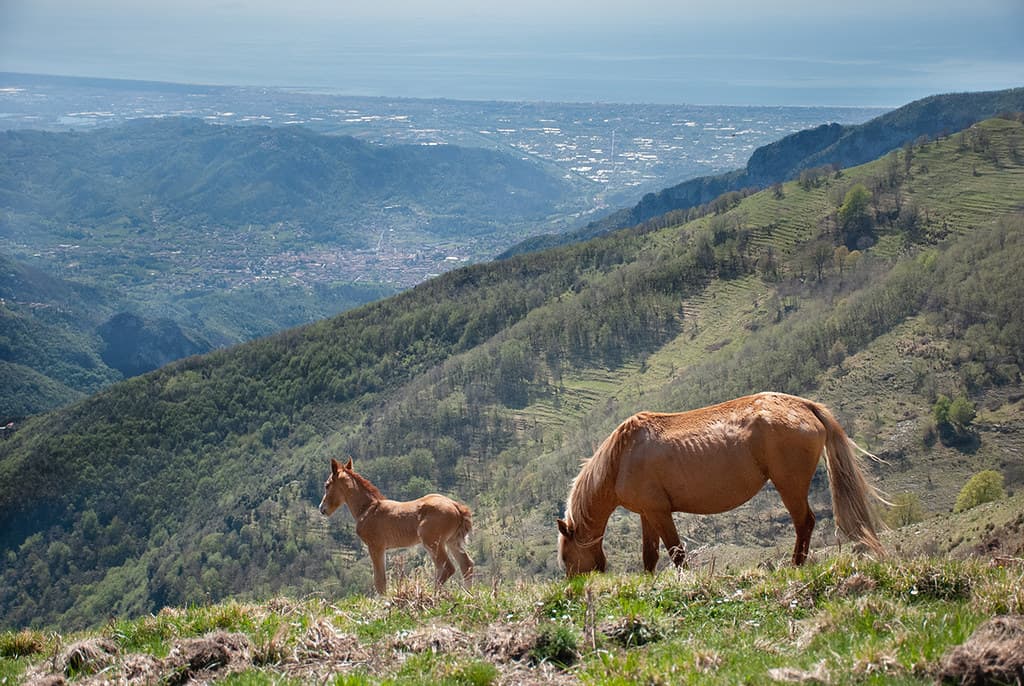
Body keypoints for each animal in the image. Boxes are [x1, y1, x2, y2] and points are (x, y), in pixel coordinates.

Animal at [319, 457, 474, 593]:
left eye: (327, 485)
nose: (322, 508)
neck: (369, 508)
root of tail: (456, 506)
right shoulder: (381, 549)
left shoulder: (375, 547)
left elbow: (379, 582)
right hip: (451, 541)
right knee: (466, 565)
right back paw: (467, 595)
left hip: (432, 542)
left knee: (447, 568)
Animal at [556, 392, 887, 576]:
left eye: (566, 558)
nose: (575, 586)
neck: (620, 458)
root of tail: (804, 406)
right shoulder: (647, 514)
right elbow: (650, 556)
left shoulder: (660, 513)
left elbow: (676, 552)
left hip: (789, 486)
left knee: (804, 523)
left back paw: (795, 566)